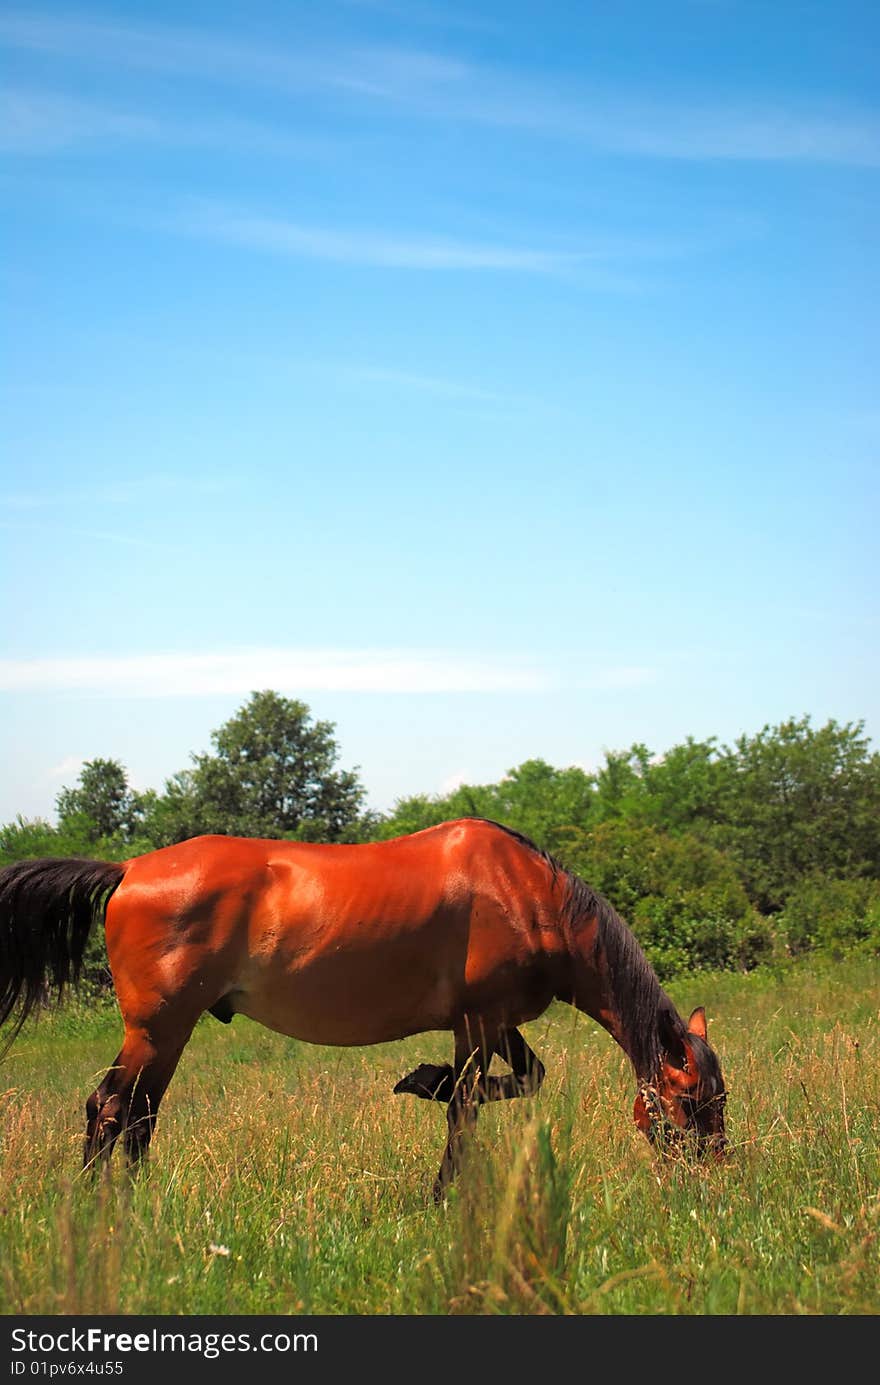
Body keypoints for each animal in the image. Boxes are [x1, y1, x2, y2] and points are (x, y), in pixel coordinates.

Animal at [0, 814, 731, 1196]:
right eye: (691, 1105)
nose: (717, 1180)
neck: (526, 895)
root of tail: (127, 868)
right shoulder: (476, 1023)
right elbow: (466, 1106)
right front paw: (440, 1186)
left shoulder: (493, 1021)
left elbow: (523, 1079)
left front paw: (424, 1080)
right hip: (158, 1027)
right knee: (113, 1107)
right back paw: (103, 1205)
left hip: (165, 1033)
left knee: (138, 1114)